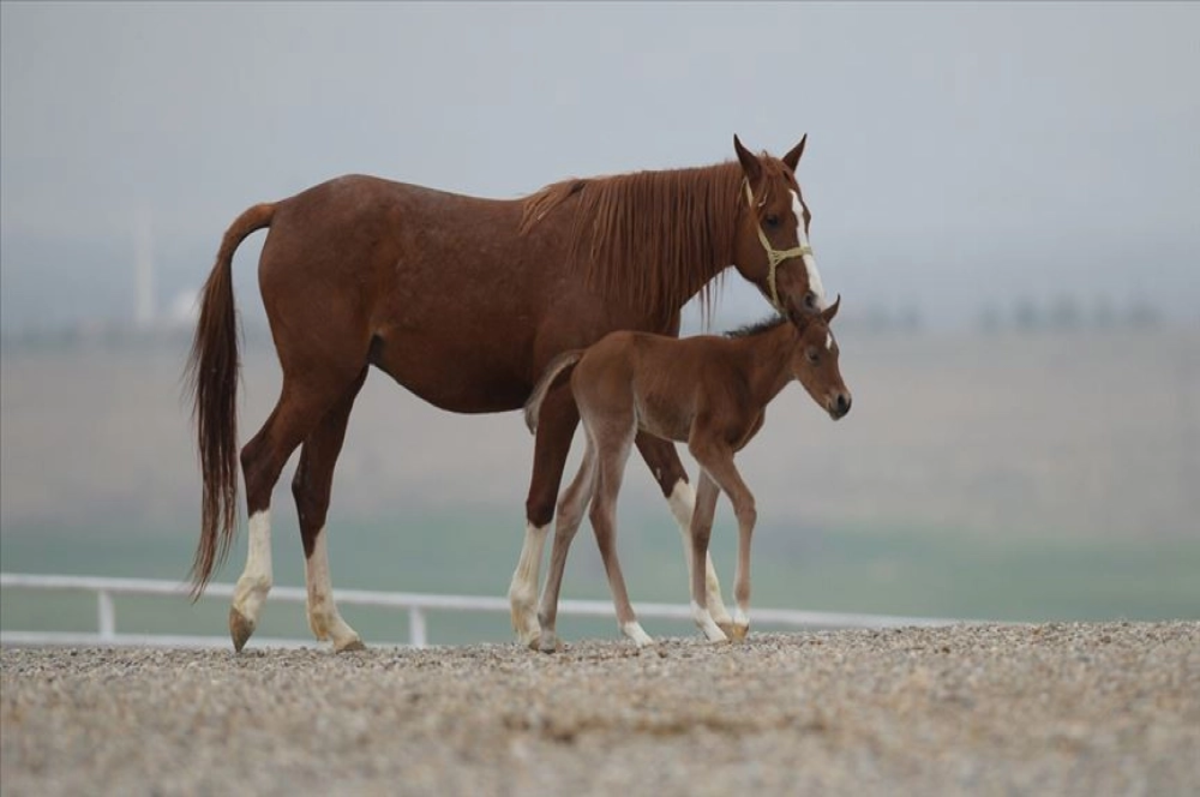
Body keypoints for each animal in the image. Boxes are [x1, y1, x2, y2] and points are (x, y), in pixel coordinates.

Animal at [525, 295, 854, 652]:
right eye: (813, 355)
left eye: (837, 352)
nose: (843, 401)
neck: (743, 372)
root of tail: (585, 355)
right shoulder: (705, 444)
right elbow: (746, 505)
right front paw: (740, 618)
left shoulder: (718, 452)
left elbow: (700, 525)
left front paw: (707, 623)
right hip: (617, 434)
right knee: (602, 513)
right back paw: (634, 629)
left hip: (594, 438)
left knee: (570, 505)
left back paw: (547, 628)